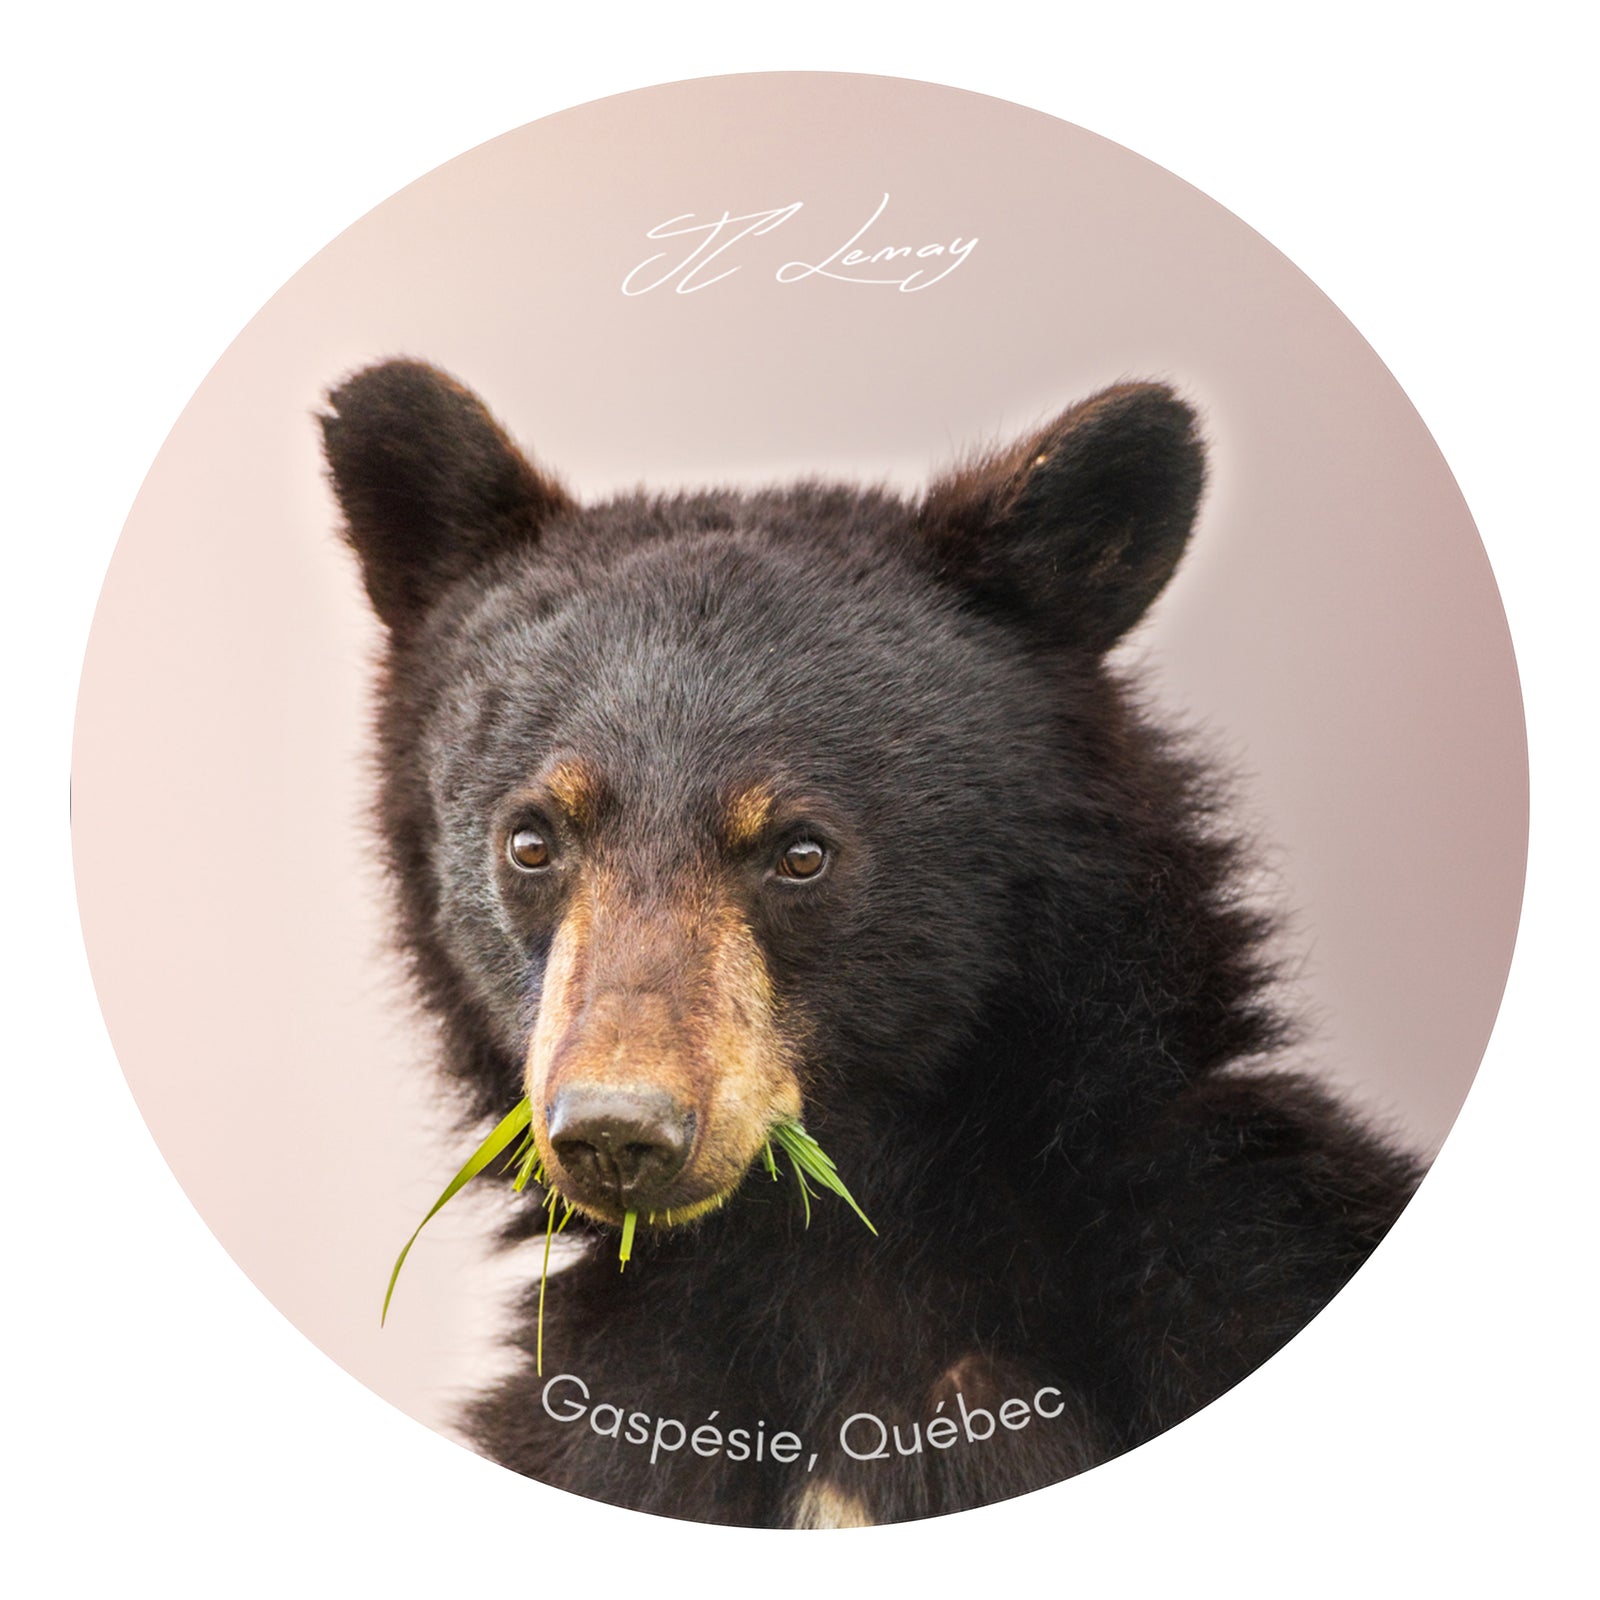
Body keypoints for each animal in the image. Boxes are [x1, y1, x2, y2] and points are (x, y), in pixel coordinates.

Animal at [320, 359, 1422, 1528]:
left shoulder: (1231, 1263)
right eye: (532, 838)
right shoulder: (616, 1414)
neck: (840, 1256)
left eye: (802, 851)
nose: (620, 1129)